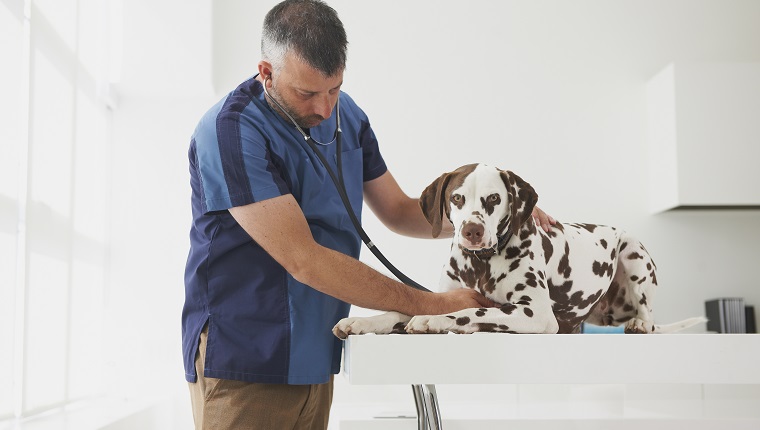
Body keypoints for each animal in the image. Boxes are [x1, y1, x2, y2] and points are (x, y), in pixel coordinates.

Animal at [332, 163, 708, 338]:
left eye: (493, 198)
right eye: (457, 198)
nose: (472, 231)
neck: (480, 263)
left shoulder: (535, 313)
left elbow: (472, 311)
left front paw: (433, 320)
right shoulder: (447, 294)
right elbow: (399, 310)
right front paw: (365, 321)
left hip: (633, 253)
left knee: (648, 315)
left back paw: (641, 324)